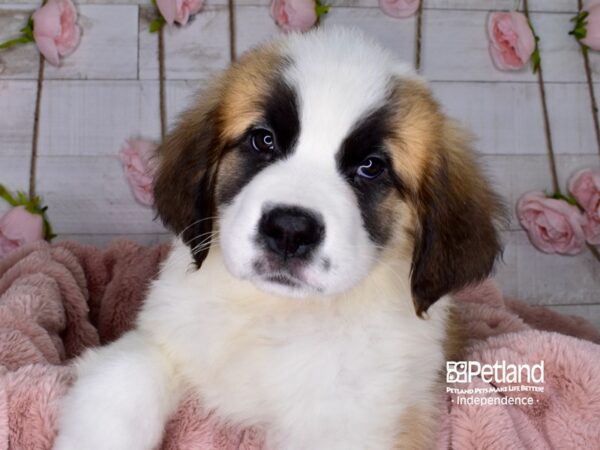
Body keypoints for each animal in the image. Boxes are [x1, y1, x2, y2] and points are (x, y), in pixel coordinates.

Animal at [54, 27, 502, 450]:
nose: (290, 230)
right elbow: (124, 375)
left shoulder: (354, 425)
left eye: (372, 167)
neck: (274, 313)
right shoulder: (165, 337)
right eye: (264, 140)